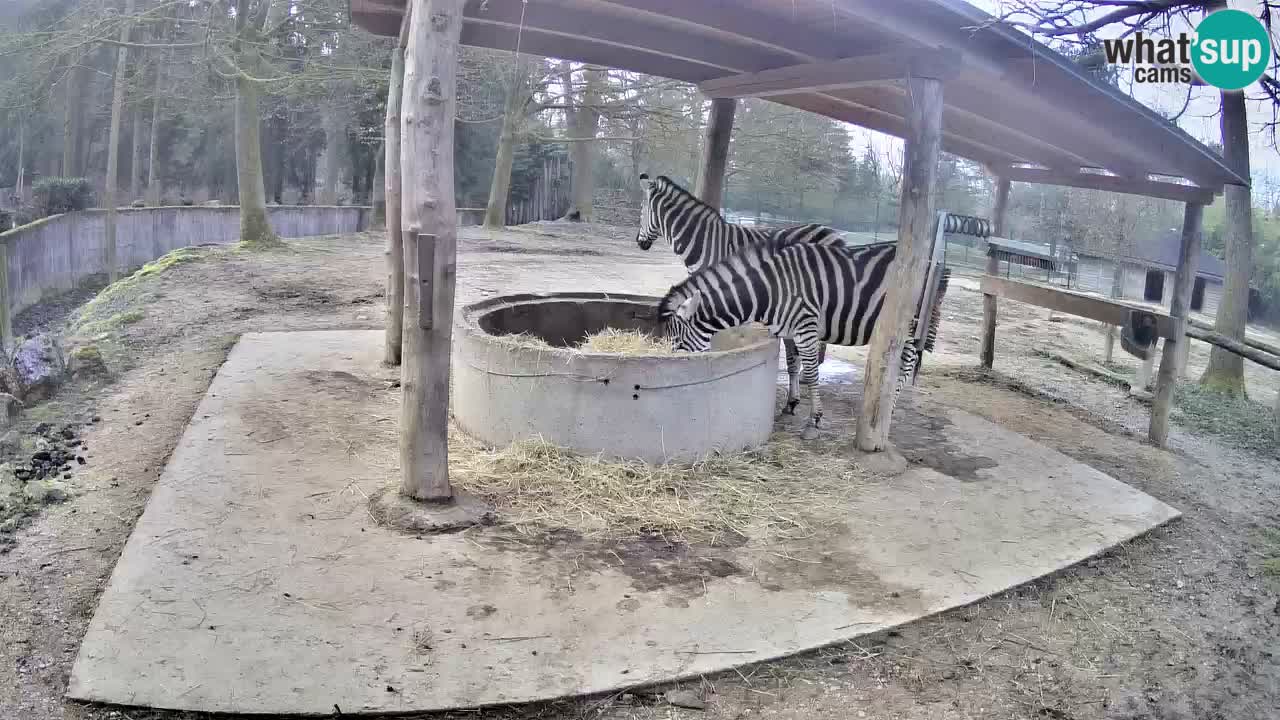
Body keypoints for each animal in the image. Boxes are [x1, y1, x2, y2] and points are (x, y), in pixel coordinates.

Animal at [657, 229, 950, 438]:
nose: (676, 375)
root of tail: (933, 264)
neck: (771, 290)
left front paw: (813, 421)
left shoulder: (806, 327)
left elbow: (811, 372)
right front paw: (791, 405)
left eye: (678, 342)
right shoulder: (787, 330)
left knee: (905, 368)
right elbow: (791, 364)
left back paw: (888, 411)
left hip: (911, 326)